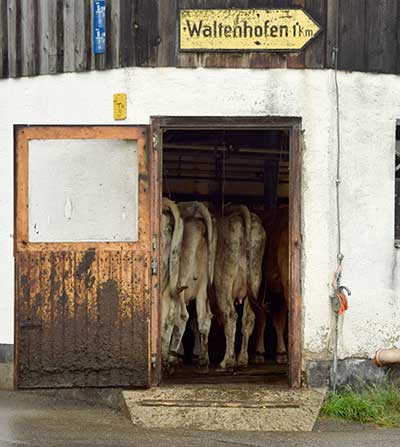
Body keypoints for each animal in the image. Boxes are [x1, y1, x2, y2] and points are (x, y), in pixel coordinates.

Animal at [212, 206, 266, 372]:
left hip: (224, 282)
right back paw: (242, 359)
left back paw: (227, 361)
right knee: (249, 317)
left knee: (230, 315)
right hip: (255, 276)